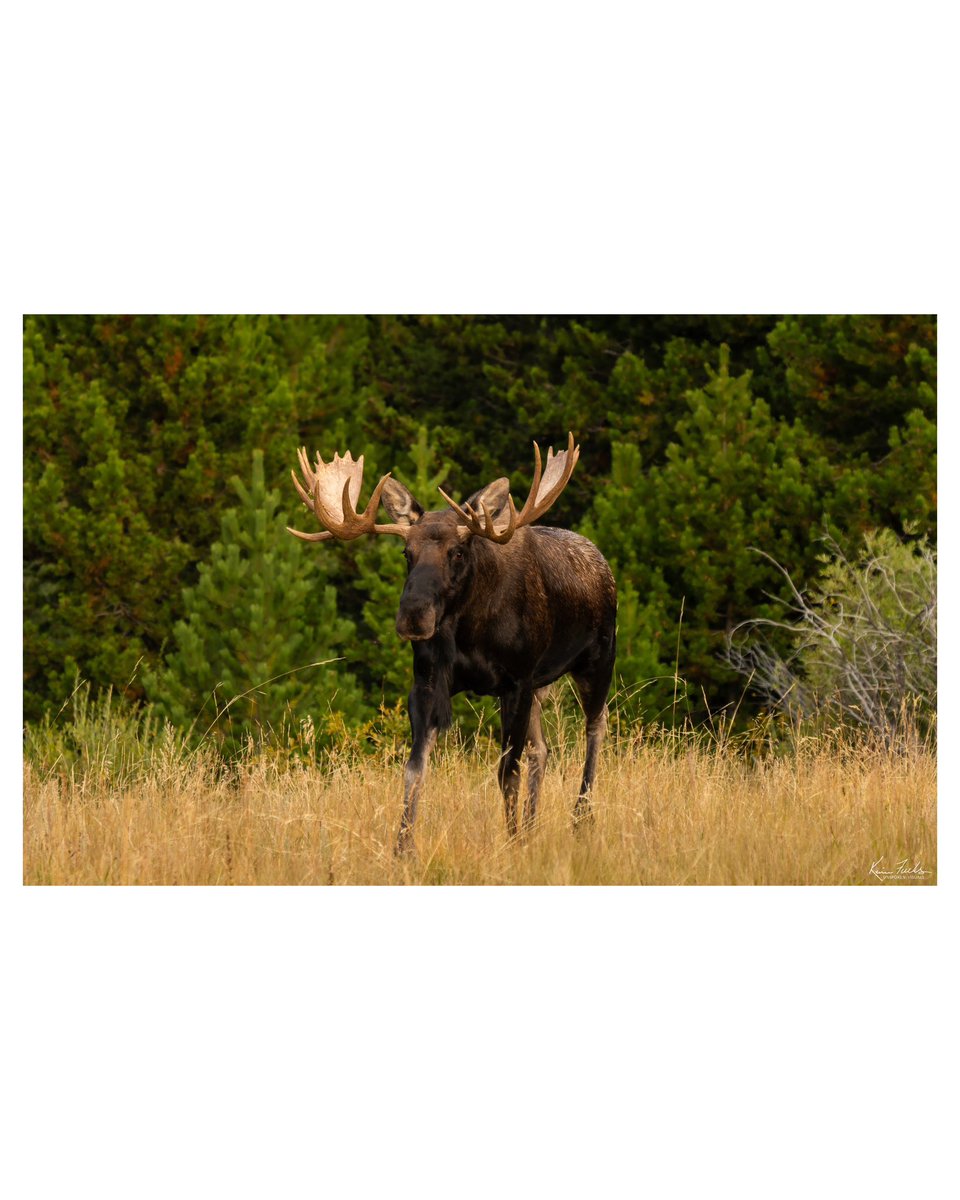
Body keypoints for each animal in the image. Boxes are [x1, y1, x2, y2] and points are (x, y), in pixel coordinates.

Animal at [286, 436, 614, 849]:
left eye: (457, 552)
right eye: (406, 552)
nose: (413, 615)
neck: (469, 634)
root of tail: (602, 561)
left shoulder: (517, 680)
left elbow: (507, 771)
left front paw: (510, 843)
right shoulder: (428, 680)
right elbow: (414, 768)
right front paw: (403, 847)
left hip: (597, 659)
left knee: (595, 727)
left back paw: (580, 817)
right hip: (541, 685)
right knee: (543, 749)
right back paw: (532, 827)